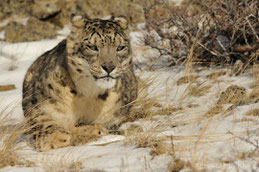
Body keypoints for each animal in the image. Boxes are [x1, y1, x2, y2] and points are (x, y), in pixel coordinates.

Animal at [22, 15, 138, 152]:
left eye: (120, 47)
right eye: (92, 47)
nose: (109, 67)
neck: (88, 93)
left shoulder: (114, 119)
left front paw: (93, 130)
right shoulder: (35, 102)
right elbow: (40, 119)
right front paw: (55, 138)